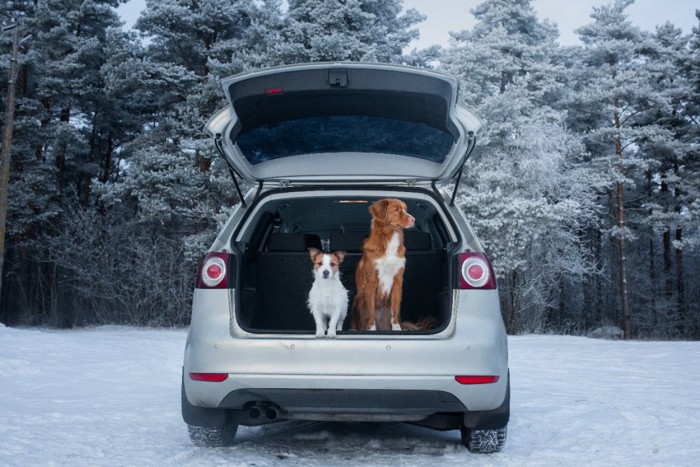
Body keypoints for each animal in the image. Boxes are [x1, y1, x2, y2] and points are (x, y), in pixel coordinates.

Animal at [352, 198, 412, 332]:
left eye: (405, 209)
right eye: (396, 210)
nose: (413, 220)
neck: (390, 239)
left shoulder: (397, 280)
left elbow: (395, 309)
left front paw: (397, 329)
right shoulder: (372, 281)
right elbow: (370, 311)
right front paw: (371, 329)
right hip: (359, 299)